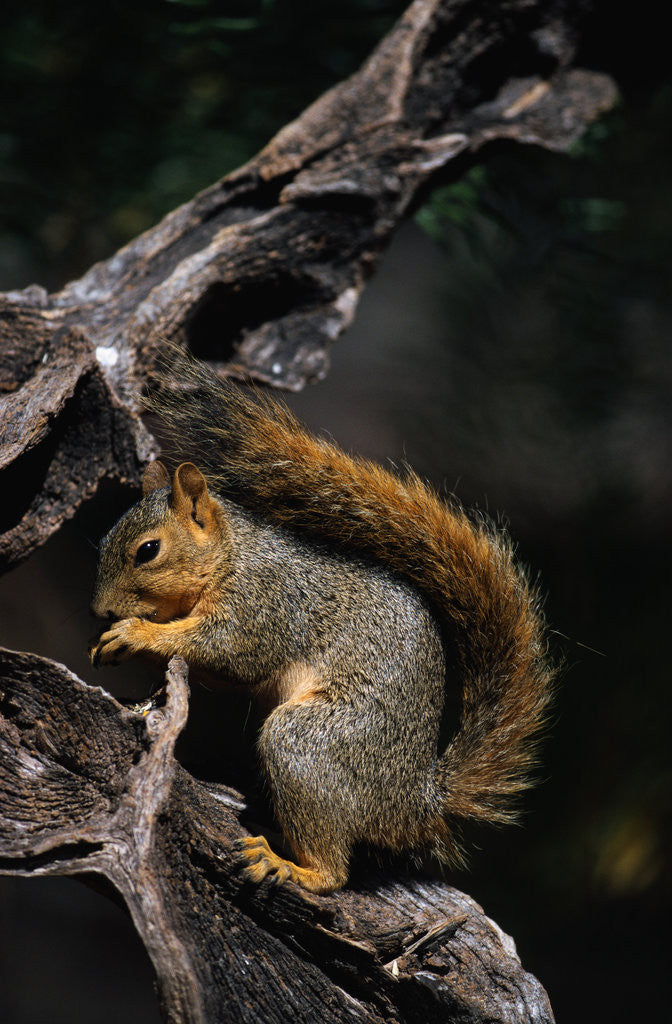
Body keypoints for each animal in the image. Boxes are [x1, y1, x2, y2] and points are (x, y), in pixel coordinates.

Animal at [89, 356, 553, 895]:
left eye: (148, 550)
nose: (100, 611)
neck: (230, 556)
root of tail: (415, 805)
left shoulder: (263, 604)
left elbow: (230, 652)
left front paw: (135, 634)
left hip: (311, 744)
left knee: (335, 873)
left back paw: (293, 866)